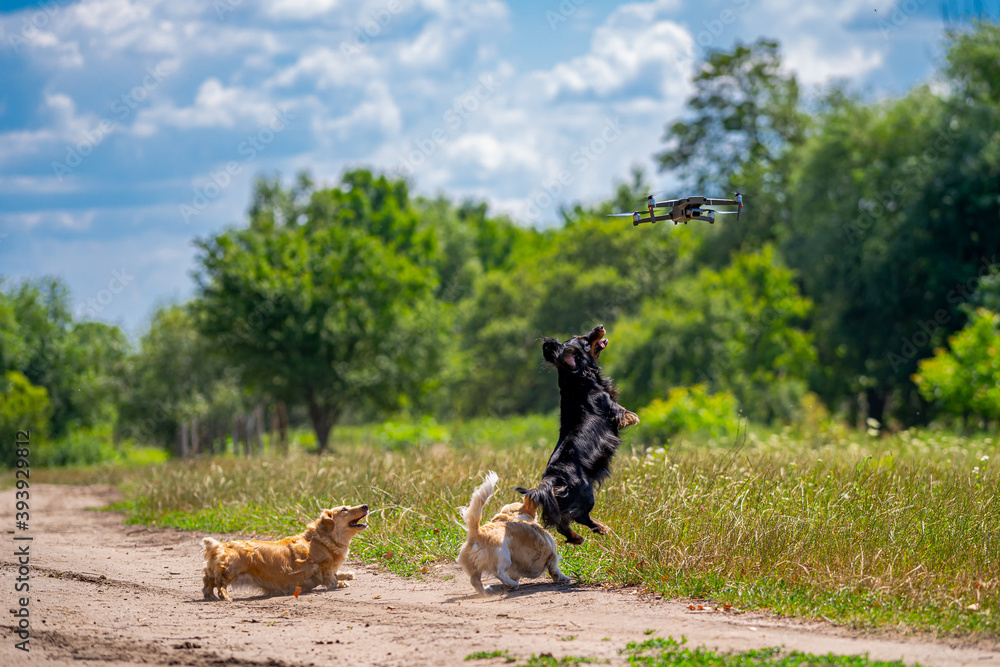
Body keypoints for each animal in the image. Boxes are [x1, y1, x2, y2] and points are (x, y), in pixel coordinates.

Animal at [516, 326, 640, 544]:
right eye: (584, 339)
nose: (600, 327)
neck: (578, 378)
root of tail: (553, 479)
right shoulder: (611, 407)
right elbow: (624, 413)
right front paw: (634, 417)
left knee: (563, 523)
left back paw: (577, 537)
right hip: (587, 495)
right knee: (576, 517)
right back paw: (599, 529)